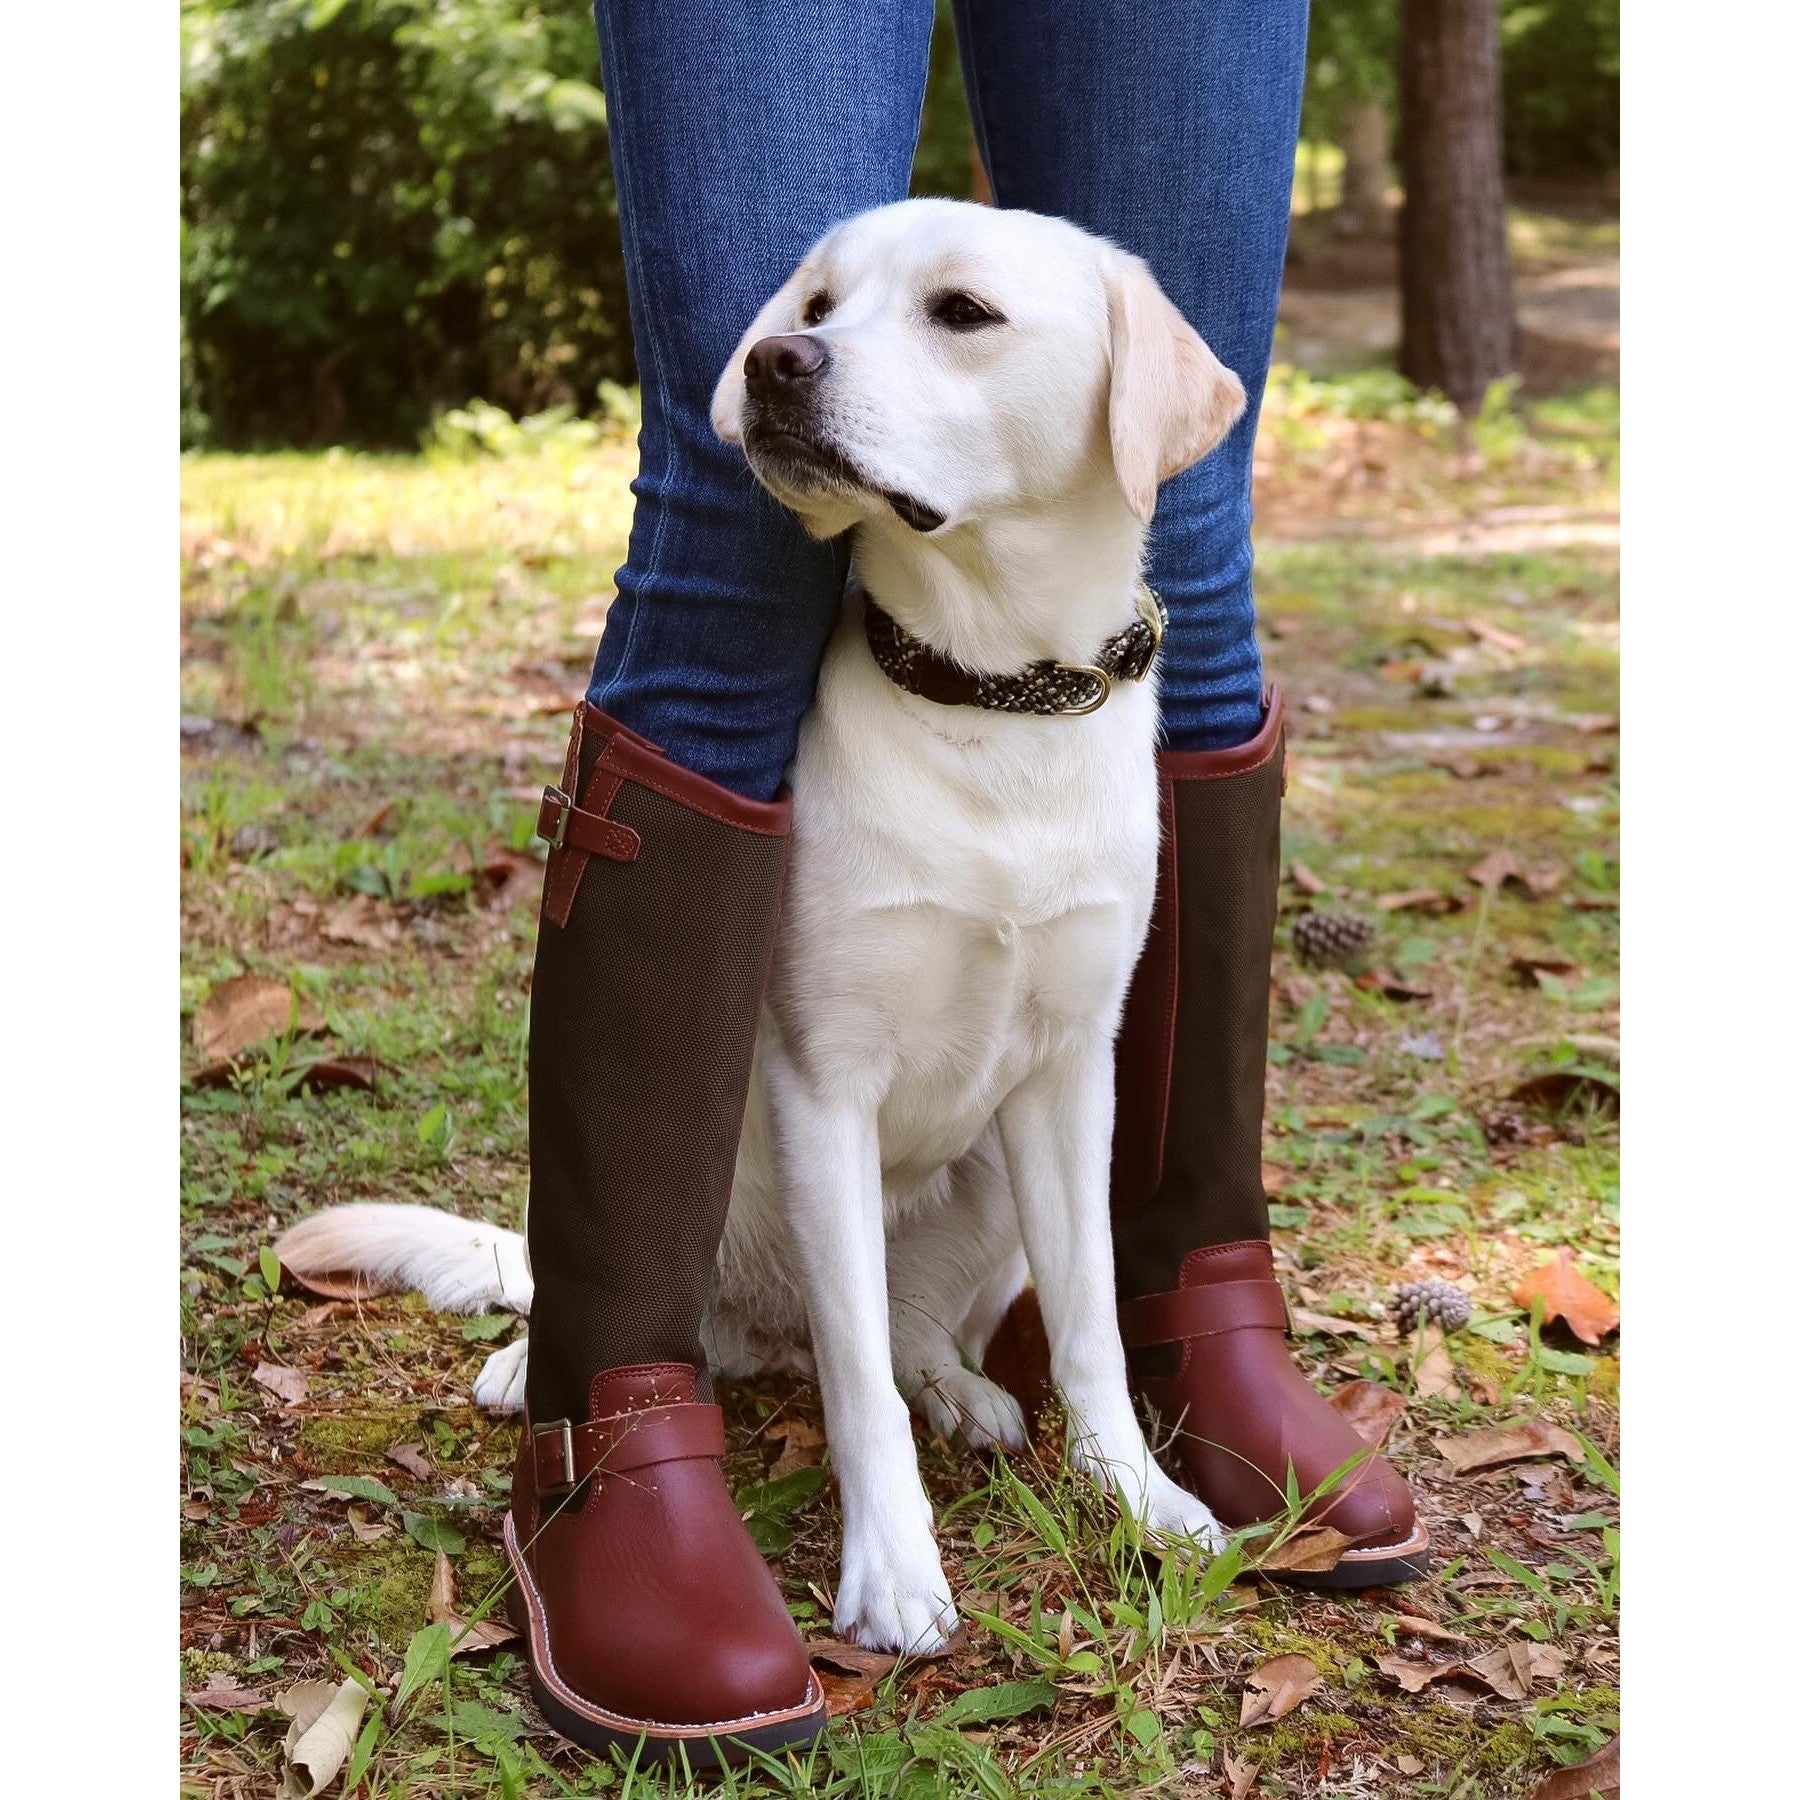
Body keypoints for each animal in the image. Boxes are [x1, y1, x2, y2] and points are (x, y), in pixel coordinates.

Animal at [280, 193, 1245, 1648]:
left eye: (962, 311)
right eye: (818, 303)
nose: (775, 361)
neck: (991, 701)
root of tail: (748, 1331)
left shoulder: (1076, 1072)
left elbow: (1088, 1330)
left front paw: (1142, 1497)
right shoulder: (822, 1086)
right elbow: (856, 1382)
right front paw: (893, 1566)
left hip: (990, 1187)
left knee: (913, 1333)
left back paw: (960, 1388)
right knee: (643, 1303)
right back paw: (535, 1364)